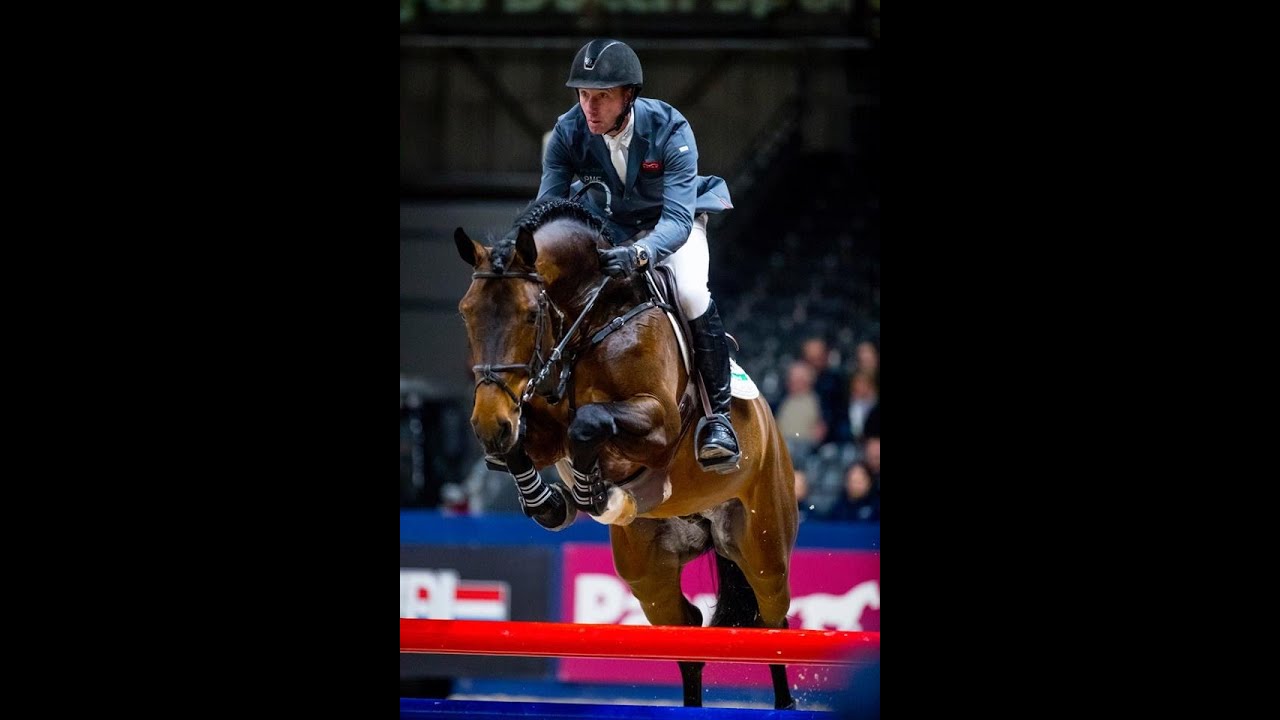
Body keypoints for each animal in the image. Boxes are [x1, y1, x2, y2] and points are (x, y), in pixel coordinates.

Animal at [453, 200, 799, 709]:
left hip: (763, 542)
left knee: (771, 619)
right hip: (647, 570)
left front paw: (588, 491)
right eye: (466, 314)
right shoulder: (535, 420)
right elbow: (527, 443)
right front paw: (550, 502)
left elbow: (589, 421)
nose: (488, 423)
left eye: (530, 313)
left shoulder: (658, 423)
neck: (590, 318)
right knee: (687, 631)